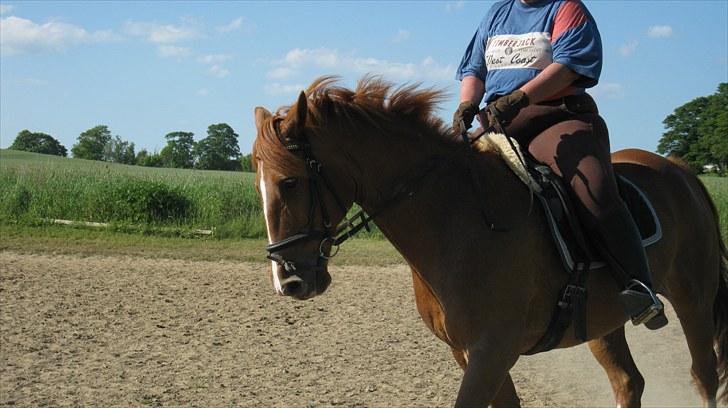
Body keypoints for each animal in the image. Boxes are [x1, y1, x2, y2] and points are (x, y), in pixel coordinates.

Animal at [252, 77, 728, 408]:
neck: (455, 218)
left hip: (694, 301)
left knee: (703, 375)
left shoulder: (491, 353)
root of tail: (679, 169)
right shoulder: (469, 354)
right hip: (603, 320)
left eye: (290, 182)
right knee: (629, 382)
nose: (289, 281)